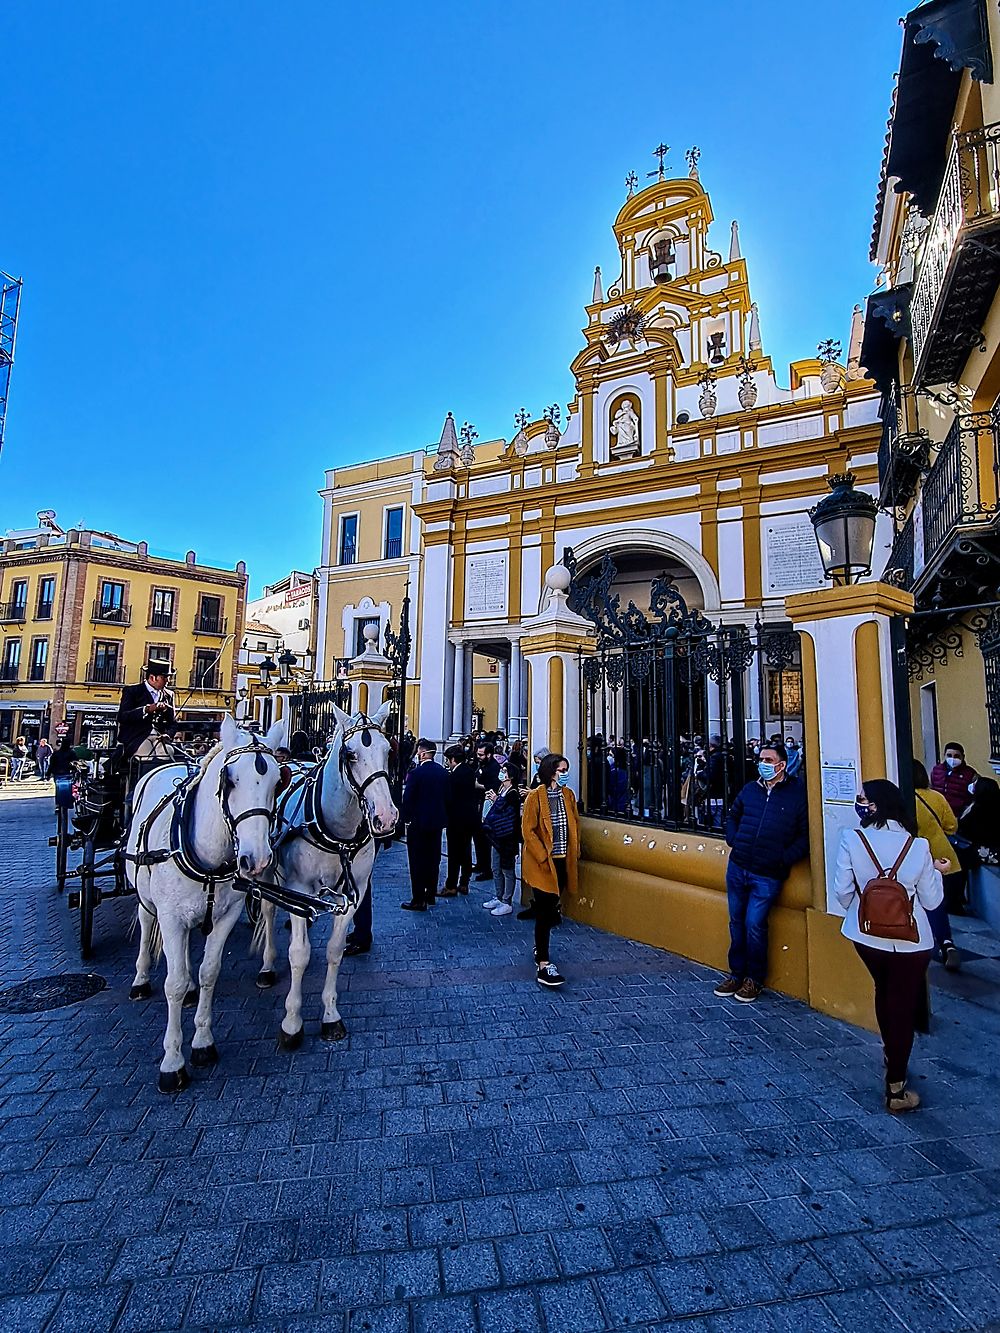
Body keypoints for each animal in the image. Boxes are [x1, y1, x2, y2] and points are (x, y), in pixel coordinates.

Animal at [127, 714, 285, 1087]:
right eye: (229, 780)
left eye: (278, 783)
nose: (257, 859)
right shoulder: (170, 917)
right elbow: (172, 984)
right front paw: (172, 1063)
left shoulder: (226, 915)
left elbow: (208, 972)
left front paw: (202, 1044)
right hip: (146, 897)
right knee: (146, 923)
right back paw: (140, 980)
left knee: (185, 955)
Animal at [256, 703, 397, 1045]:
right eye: (349, 754)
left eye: (389, 750)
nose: (386, 817)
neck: (338, 832)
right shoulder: (298, 887)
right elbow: (299, 954)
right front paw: (291, 1022)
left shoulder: (353, 893)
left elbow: (334, 951)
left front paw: (331, 1015)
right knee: (267, 910)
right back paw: (267, 966)